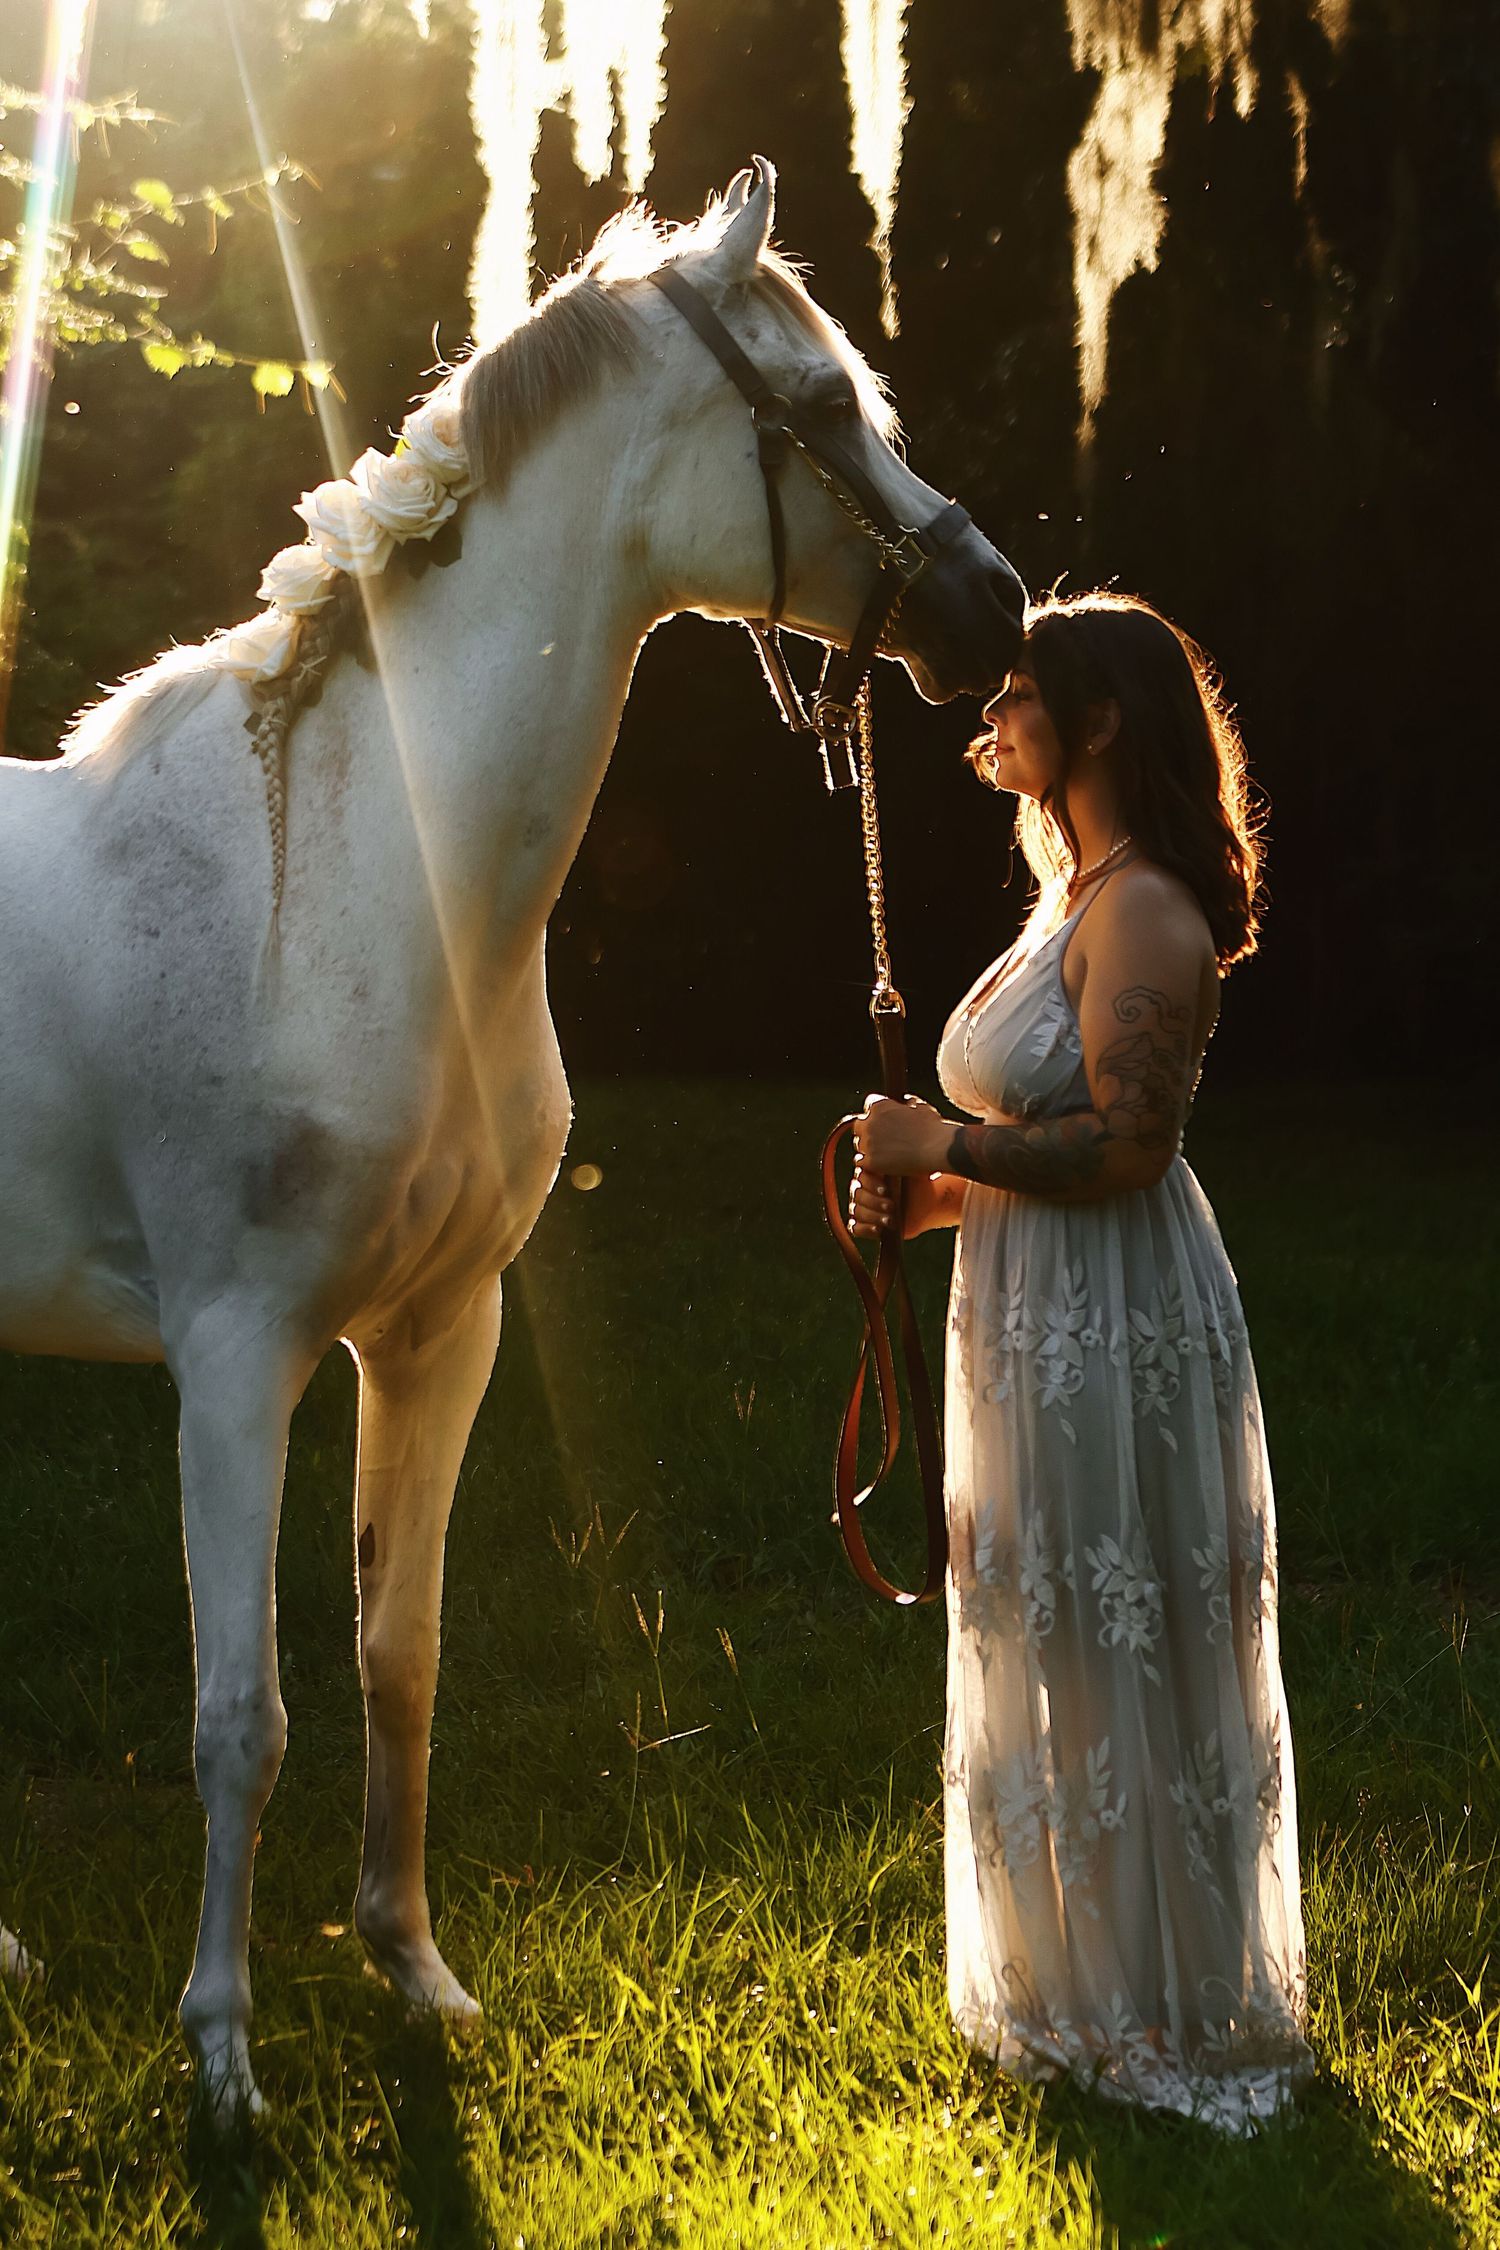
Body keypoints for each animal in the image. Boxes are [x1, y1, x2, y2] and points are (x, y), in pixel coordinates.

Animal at [0, 161, 1025, 2117]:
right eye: (824, 403)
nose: (995, 604)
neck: (360, 874)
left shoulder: (437, 1332)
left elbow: (400, 1662)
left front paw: (411, 1970)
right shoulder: (236, 1358)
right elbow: (239, 1715)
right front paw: (221, 2047)